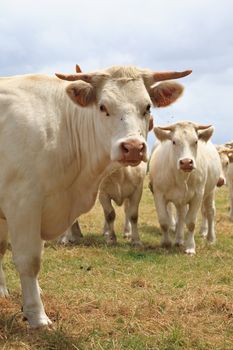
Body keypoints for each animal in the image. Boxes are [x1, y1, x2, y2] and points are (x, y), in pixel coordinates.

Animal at [149, 121, 222, 254]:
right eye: (174, 141)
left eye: (196, 141)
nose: (186, 162)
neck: (180, 177)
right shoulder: (158, 194)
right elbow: (164, 220)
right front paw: (166, 243)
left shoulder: (198, 195)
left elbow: (191, 222)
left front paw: (190, 247)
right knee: (181, 215)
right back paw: (179, 240)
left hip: (210, 191)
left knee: (210, 211)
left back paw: (210, 238)